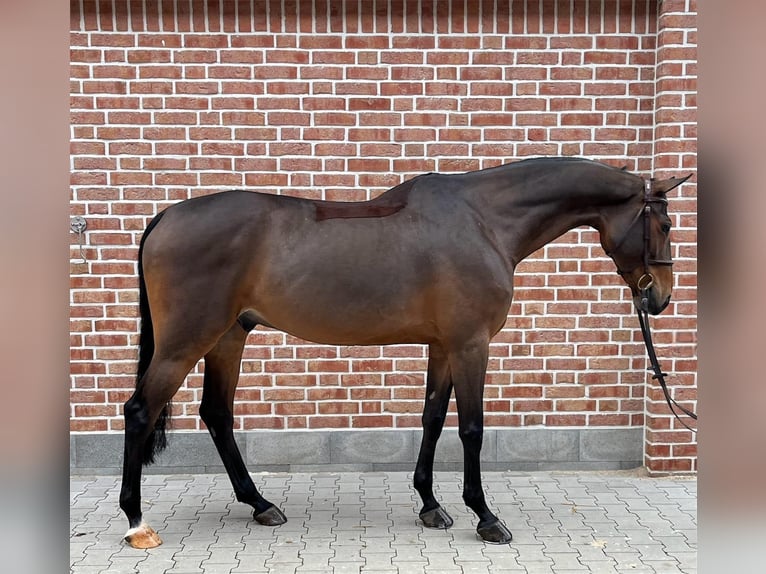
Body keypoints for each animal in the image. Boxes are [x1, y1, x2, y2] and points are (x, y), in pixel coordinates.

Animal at [120, 156, 688, 548]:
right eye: (664, 225)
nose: (660, 298)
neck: (484, 221)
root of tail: (166, 216)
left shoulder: (442, 345)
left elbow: (433, 419)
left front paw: (431, 506)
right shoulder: (471, 343)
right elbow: (471, 428)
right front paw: (485, 517)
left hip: (229, 337)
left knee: (217, 413)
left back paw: (260, 504)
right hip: (186, 341)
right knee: (141, 410)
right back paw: (137, 521)